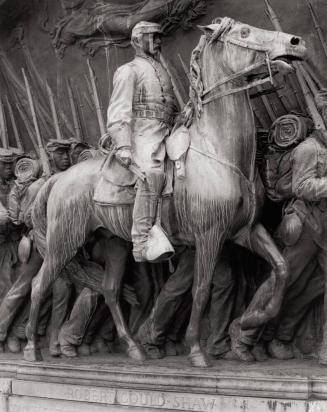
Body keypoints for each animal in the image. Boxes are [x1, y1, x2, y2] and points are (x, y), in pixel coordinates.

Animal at [24, 17, 306, 368]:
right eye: (244, 32)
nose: (296, 43)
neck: (219, 152)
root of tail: (59, 178)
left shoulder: (246, 230)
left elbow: (282, 268)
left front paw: (250, 321)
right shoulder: (209, 235)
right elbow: (201, 290)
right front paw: (197, 350)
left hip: (115, 242)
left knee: (110, 289)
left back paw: (135, 348)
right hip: (65, 240)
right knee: (40, 284)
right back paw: (32, 349)